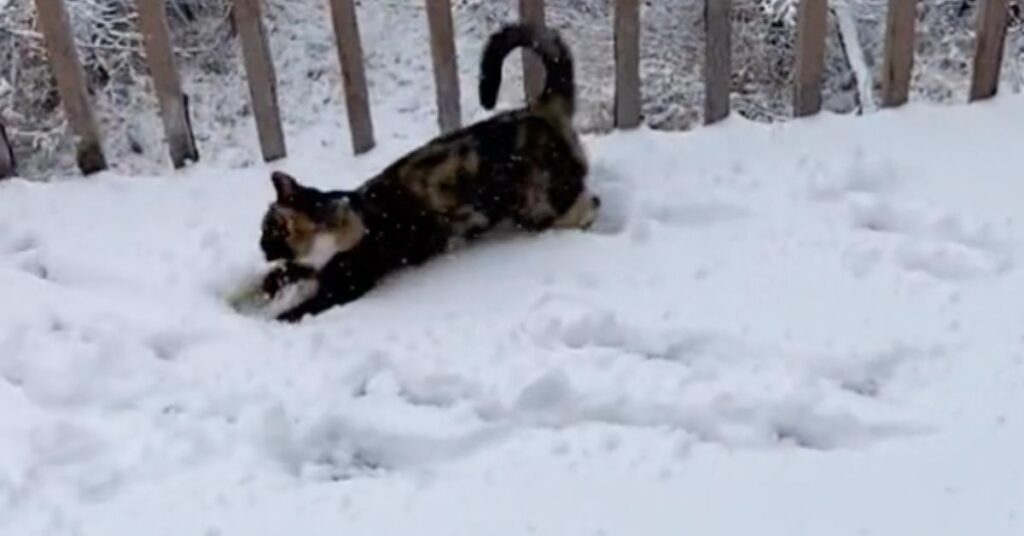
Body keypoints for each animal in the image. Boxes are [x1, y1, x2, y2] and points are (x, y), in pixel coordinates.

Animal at [245, 22, 598, 323]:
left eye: (270, 229)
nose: (260, 247)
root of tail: (539, 110)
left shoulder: (348, 282)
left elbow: (301, 309)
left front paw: (272, 318)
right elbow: (278, 277)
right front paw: (264, 287)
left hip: (538, 204)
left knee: (587, 203)